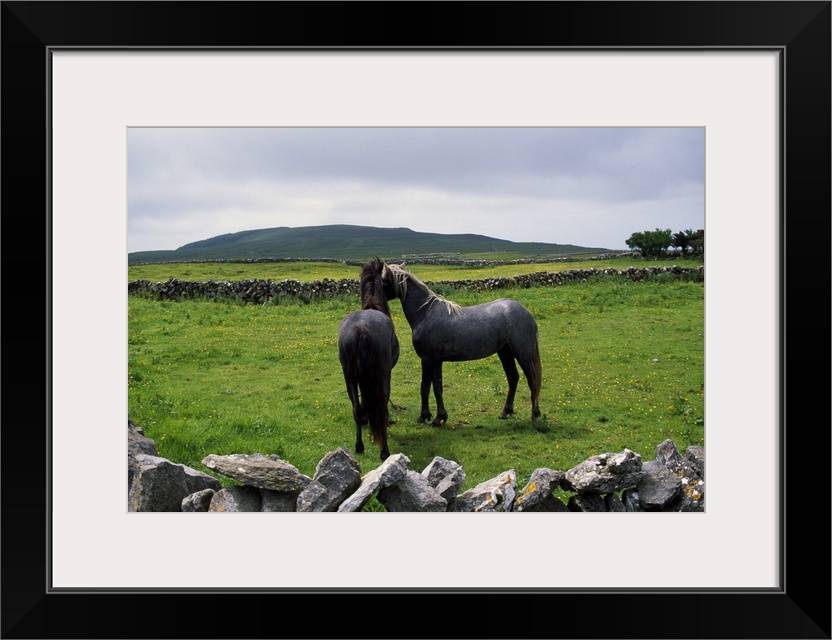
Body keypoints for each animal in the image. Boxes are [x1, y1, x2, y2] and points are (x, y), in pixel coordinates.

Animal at [336, 260, 398, 460]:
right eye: (386, 281)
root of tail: (360, 328)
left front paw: (365, 419)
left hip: (349, 376)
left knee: (355, 408)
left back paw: (359, 446)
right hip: (382, 375)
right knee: (383, 409)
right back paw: (384, 451)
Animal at [382, 262, 544, 428]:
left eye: (383, 279)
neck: (425, 313)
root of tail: (527, 313)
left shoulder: (427, 360)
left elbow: (425, 387)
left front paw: (424, 417)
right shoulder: (436, 361)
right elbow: (437, 388)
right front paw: (439, 418)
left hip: (522, 354)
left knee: (532, 380)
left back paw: (534, 415)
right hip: (505, 353)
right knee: (513, 378)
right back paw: (506, 412)